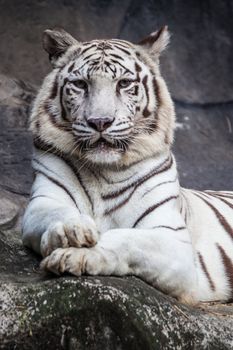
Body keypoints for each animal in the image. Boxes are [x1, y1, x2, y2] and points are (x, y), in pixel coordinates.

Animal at [22, 26, 233, 304]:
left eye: (123, 83)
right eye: (80, 84)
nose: (100, 122)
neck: (102, 171)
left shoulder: (173, 241)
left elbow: (125, 239)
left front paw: (77, 255)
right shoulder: (42, 202)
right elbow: (56, 213)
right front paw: (72, 231)